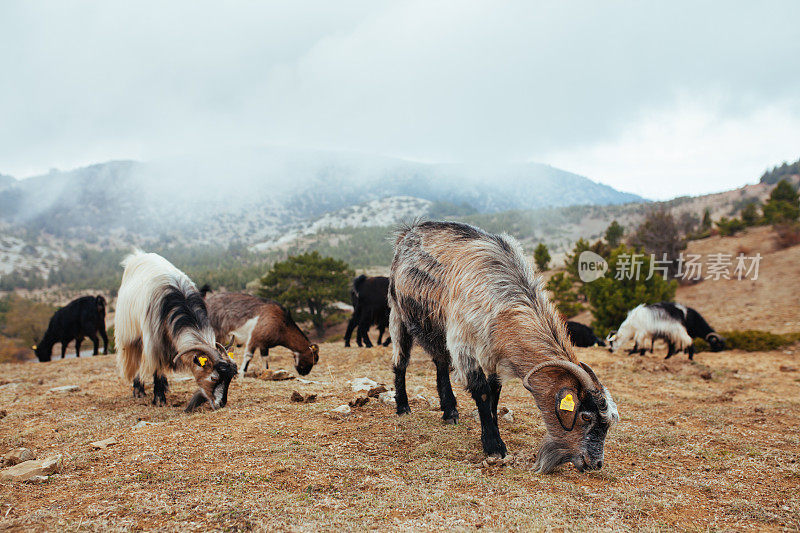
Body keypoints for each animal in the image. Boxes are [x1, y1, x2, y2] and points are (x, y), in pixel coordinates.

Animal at [115, 250, 238, 412]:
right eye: (214, 377)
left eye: (230, 378)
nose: (221, 404)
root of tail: (137, 255)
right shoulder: (154, 342)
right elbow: (157, 367)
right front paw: (159, 399)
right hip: (131, 335)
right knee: (137, 359)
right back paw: (138, 390)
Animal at [390, 222, 620, 472]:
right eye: (585, 416)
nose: (595, 463)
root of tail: (408, 231)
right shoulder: (464, 343)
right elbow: (482, 391)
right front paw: (494, 445)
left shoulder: (493, 352)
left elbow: (495, 392)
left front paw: (491, 431)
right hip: (399, 313)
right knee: (401, 361)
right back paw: (403, 407)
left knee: (440, 363)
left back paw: (450, 411)